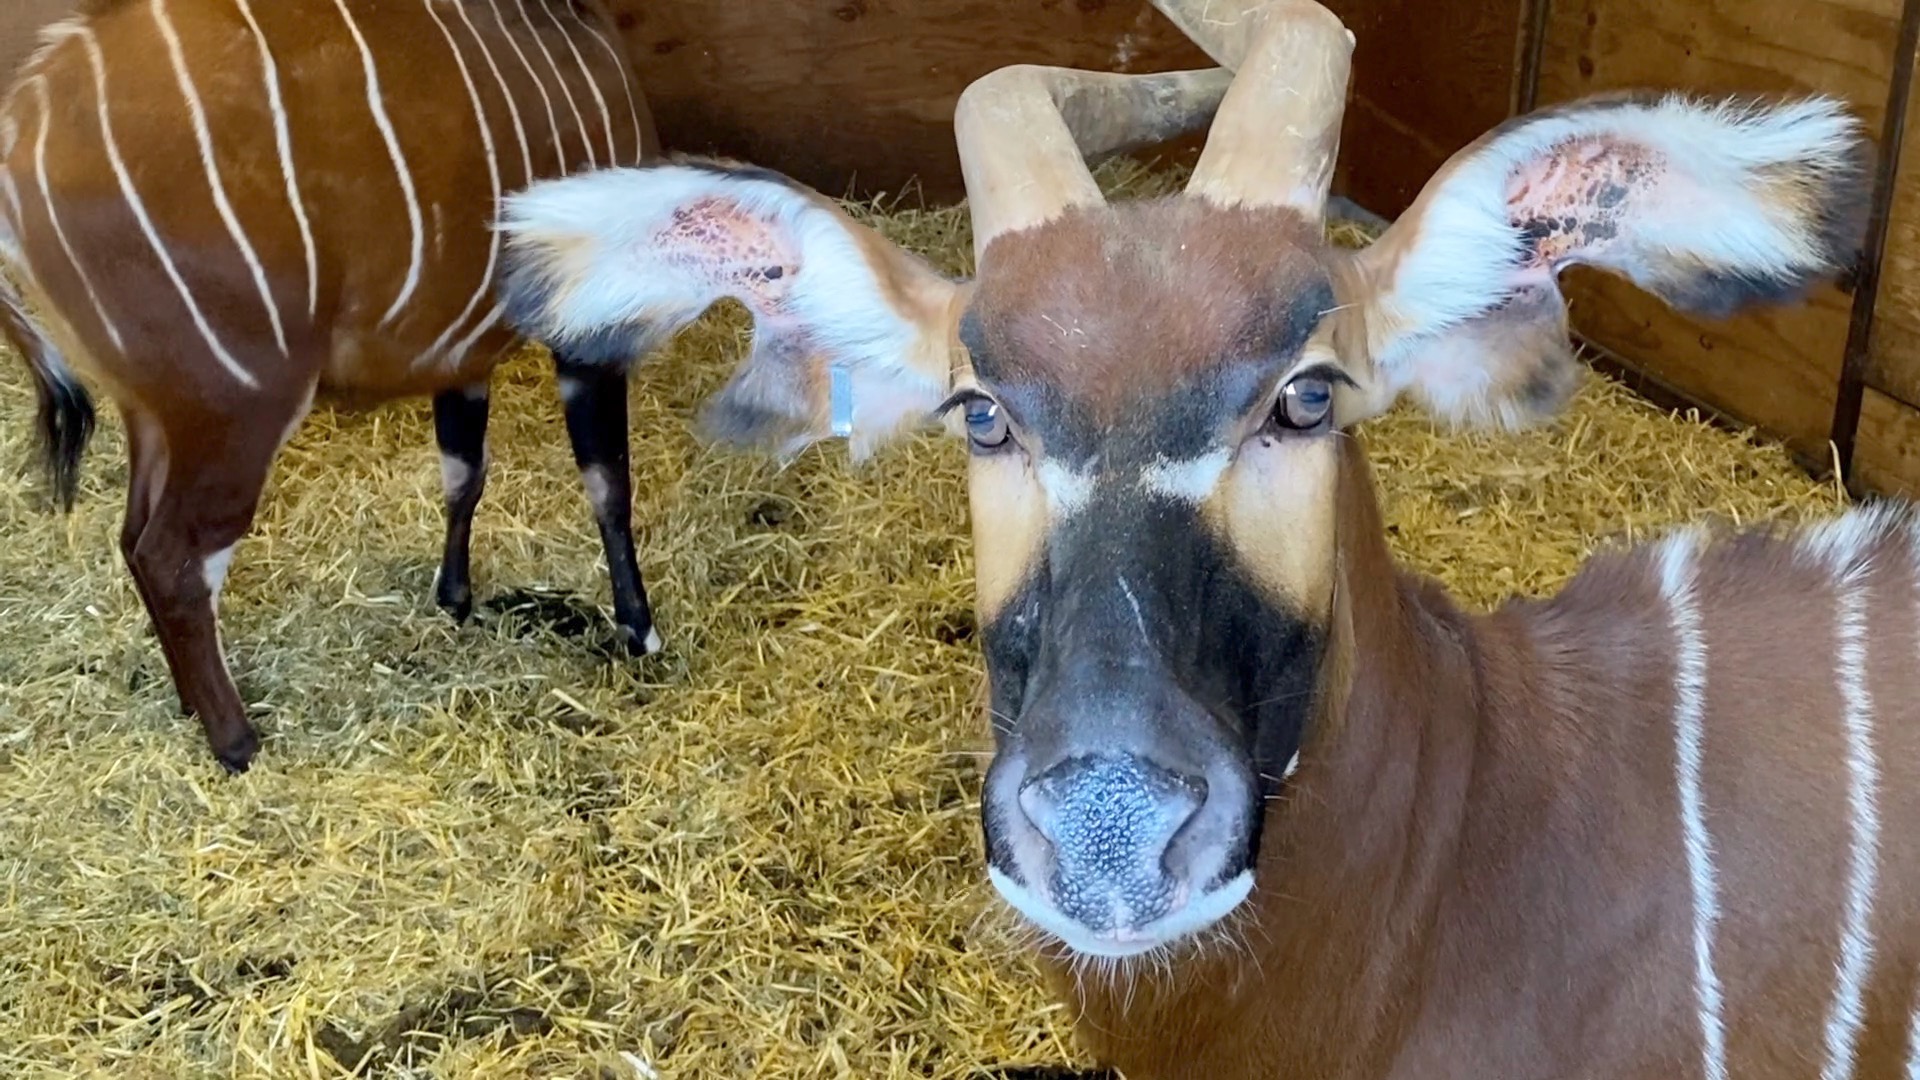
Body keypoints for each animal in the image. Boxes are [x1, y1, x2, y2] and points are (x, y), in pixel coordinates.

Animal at [0, 2, 664, 772]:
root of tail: (18, 137)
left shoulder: (459, 351)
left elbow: (462, 473)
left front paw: (454, 600)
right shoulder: (588, 322)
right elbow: (608, 484)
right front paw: (641, 633)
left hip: (160, 412)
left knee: (135, 539)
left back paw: (193, 708)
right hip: (242, 401)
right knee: (174, 558)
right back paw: (237, 741)